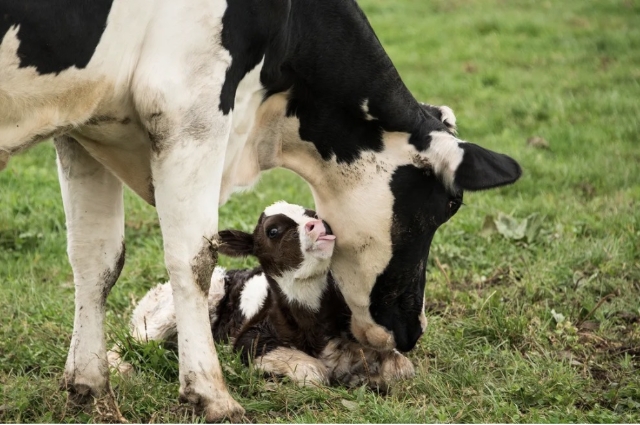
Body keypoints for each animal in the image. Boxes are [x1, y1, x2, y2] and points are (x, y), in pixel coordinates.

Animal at [0, 0, 521, 421]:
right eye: (448, 205)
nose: (412, 329)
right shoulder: (191, 111)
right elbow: (194, 259)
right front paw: (211, 395)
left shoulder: (83, 123)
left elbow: (97, 260)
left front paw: (87, 386)